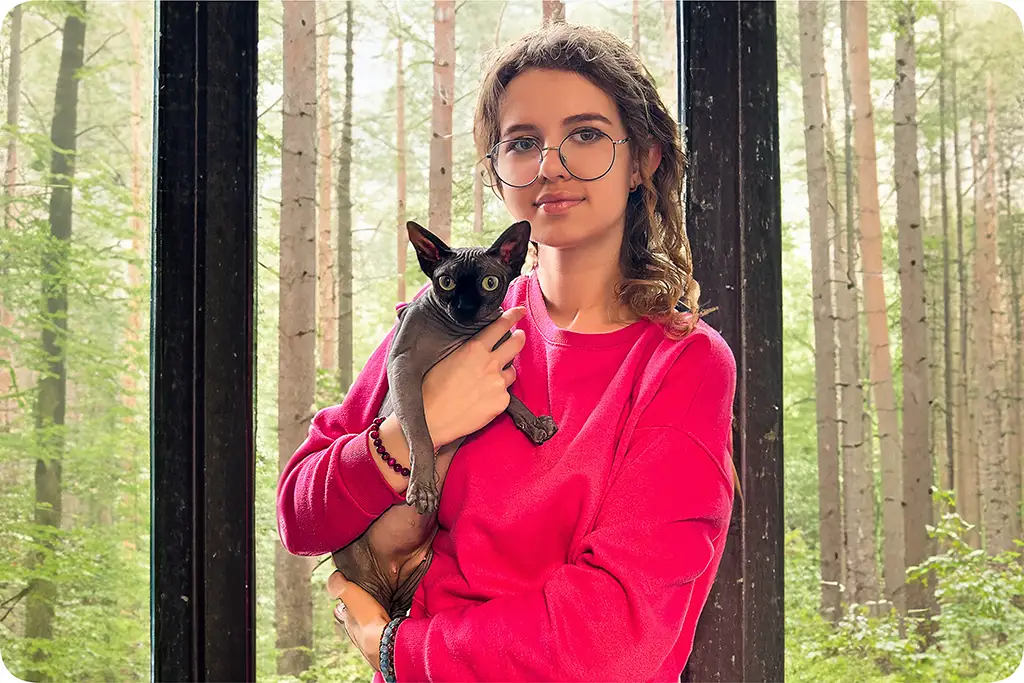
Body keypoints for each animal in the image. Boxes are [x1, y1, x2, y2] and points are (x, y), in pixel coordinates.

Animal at [331, 219, 558, 619]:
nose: (465, 308)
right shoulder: (403, 369)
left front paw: (533, 424)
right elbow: (420, 429)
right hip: (362, 574)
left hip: (419, 572)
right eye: (447, 282)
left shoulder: (498, 370)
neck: (461, 335)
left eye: (489, 283)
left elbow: (511, 401)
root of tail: (390, 580)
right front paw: (423, 486)